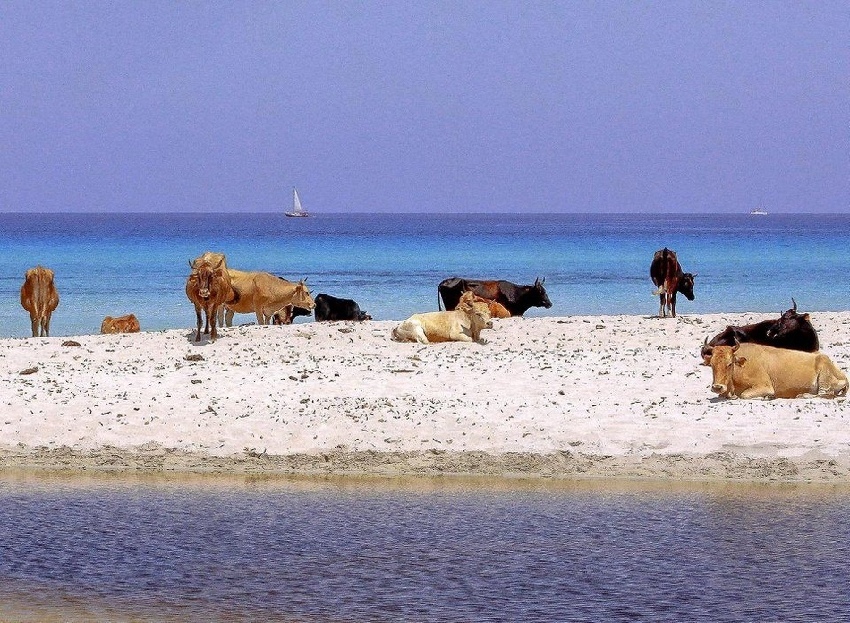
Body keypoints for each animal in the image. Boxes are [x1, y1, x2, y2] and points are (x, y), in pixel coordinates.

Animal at [704, 342, 844, 400]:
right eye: (711, 365)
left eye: (729, 364)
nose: (717, 387)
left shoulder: (765, 386)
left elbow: (744, 395)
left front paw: (767, 397)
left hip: (824, 379)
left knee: (825, 394)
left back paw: (802, 395)